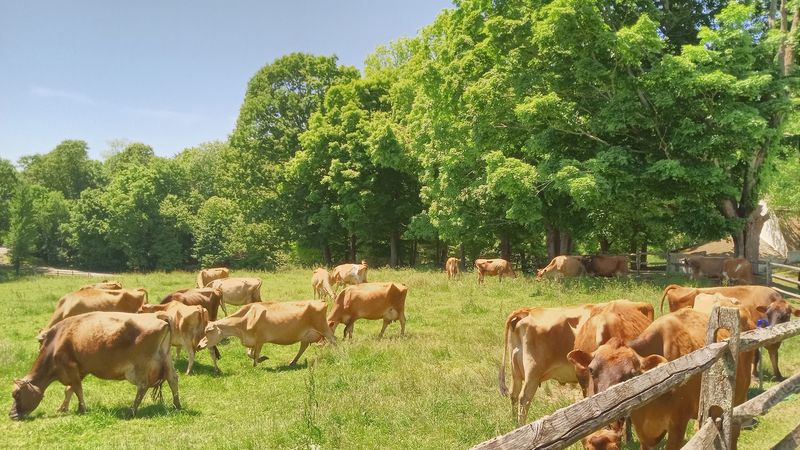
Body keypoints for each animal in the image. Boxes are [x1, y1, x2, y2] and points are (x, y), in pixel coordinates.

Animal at [11, 312, 180, 420]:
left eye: (16, 394)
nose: (11, 415)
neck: (57, 341)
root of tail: (158, 315)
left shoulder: (70, 367)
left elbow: (77, 389)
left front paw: (82, 409)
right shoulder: (81, 368)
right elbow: (69, 389)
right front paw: (62, 408)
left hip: (141, 365)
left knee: (143, 386)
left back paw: (131, 411)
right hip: (166, 358)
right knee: (173, 379)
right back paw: (177, 405)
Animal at [198, 300, 336, 370]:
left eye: (208, 331)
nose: (199, 345)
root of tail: (320, 301)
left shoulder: (260, 340)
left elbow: (255, 354)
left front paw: (257, 364)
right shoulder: (252, 340)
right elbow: (249, 353)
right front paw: (261, 359)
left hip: (323, 327)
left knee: (334, 340)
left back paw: (338, 355)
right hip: (306, 334)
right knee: (303, 346)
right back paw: (292, 362)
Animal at [660, 284, 799, 379]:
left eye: (786, 315)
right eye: (768, 314)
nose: (773, 328)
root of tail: (679, 287)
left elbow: (774, 356)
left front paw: (778, 375)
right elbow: (756, 356)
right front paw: (754, 375)